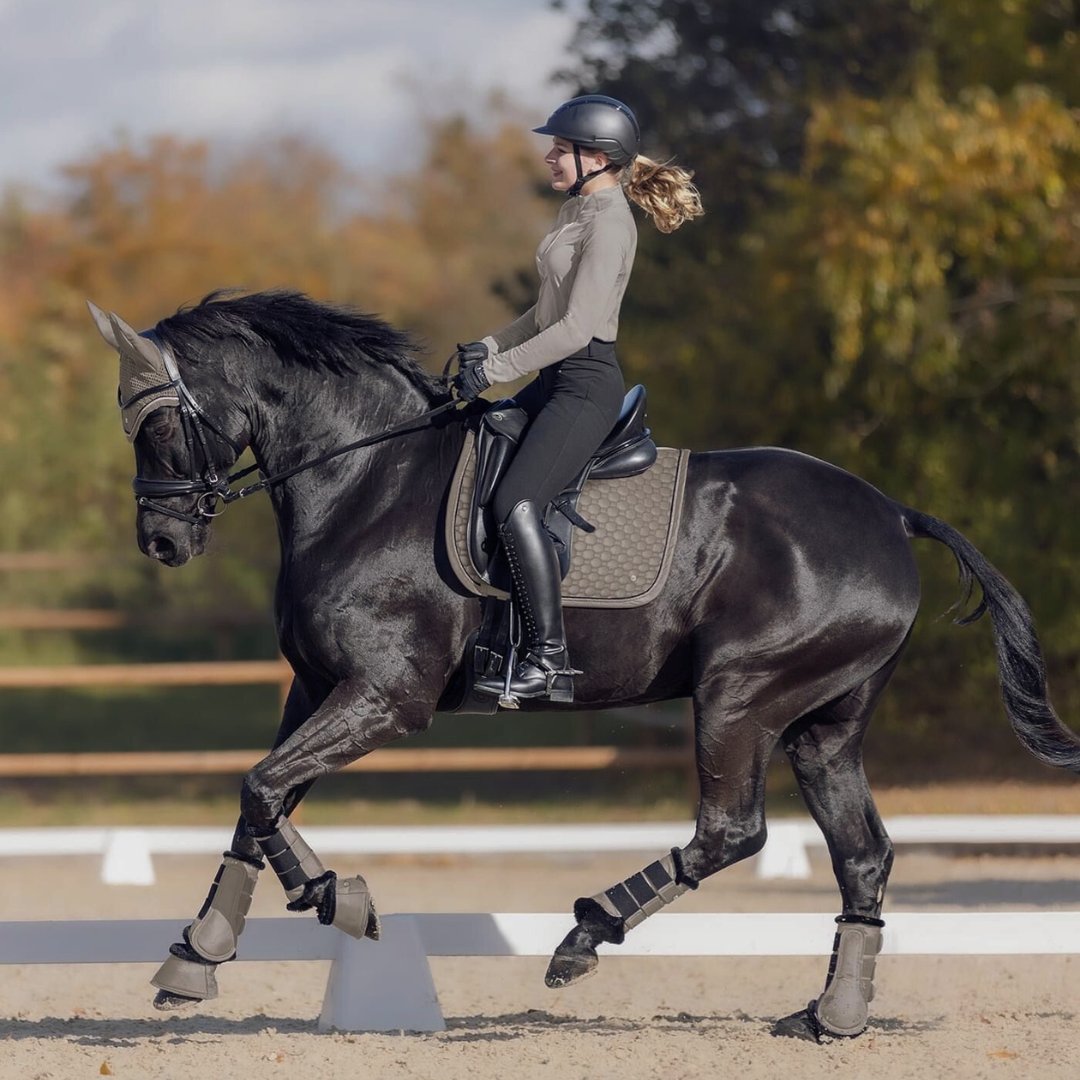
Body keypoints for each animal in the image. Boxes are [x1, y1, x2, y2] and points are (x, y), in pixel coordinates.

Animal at [88, 289, 1075, 1036]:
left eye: (159, 427)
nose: (162, 542)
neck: (367, 481)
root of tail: (893, 514)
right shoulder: (318, 688)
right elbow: (259, 800)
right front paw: (198, 954)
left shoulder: (385, 696)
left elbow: (262, 789)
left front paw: (342, 902)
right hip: (822, 724)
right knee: (861, 855)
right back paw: (832, 1017)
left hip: (741, 696)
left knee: (733, 831)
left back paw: (584, 938)